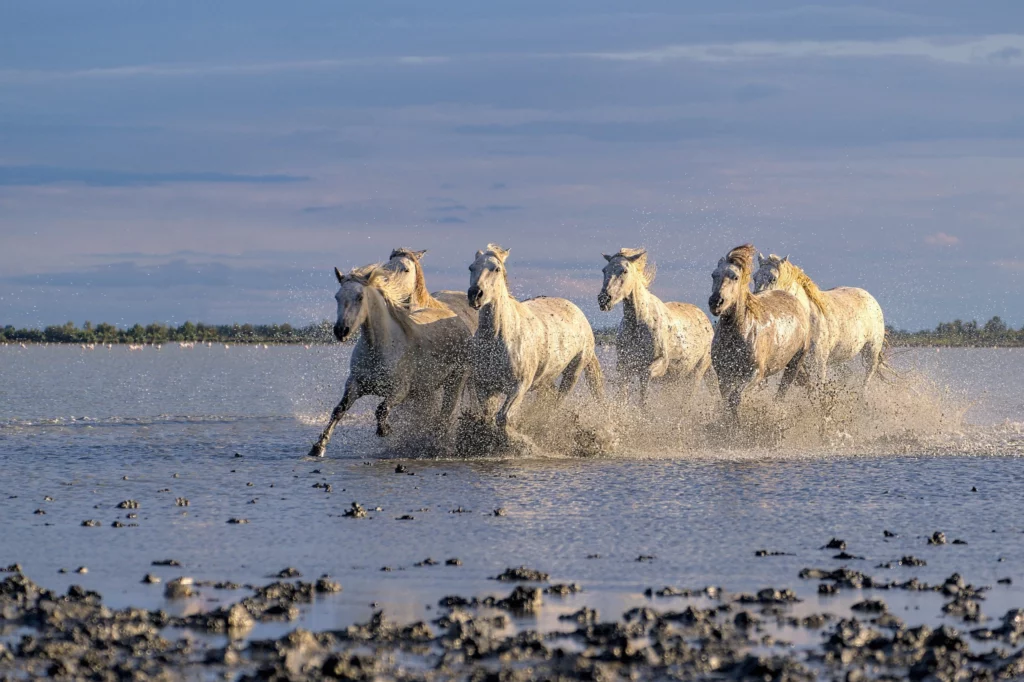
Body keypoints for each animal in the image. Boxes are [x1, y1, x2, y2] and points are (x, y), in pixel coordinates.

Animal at [308, 264, 471, 457]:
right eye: (337, 297)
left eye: (360, 297)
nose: (341, 331)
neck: (379, 348)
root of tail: (458, 319)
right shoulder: (355, 384)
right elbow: (338, 410)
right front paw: (318, 447)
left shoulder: (399, 390)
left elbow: (381, 409)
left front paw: (384, 430)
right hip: (426, 389)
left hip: (456, 380)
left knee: (445, 415)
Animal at [467, 244, 604, 449]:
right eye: (471, 268)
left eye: (496, 269)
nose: (475, 294)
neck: (497, 338)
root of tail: (577, 312)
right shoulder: (484, 386)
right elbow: (488, 419)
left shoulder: (519, 386)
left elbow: (503, 418)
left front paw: (520, 442)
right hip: (545, 379)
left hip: (574, 371)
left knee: (556, 403)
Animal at [598, 248, 714, 404]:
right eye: (604, 270)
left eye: (624, 271)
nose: (604, 299)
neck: (638, 323)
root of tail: (707, 321)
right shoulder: (624, 367)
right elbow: (622, 397)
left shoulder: (659, 364)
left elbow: (644, 388)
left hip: (698, 371)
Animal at [709, 244, 810, 418]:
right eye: (714, 275)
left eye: (735, 277)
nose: (716, 302)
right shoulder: (724, 374)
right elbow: (727, 401)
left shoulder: (755, 373)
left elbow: (735, 399)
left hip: (795, 363)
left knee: (781, 394)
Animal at [753, 254, 885, 388]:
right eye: (754, 277)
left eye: (773, 279)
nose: (757, 303)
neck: (809, 319)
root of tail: (870, 298)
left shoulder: (818, 363)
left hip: (871, 351)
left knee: (867, 377)